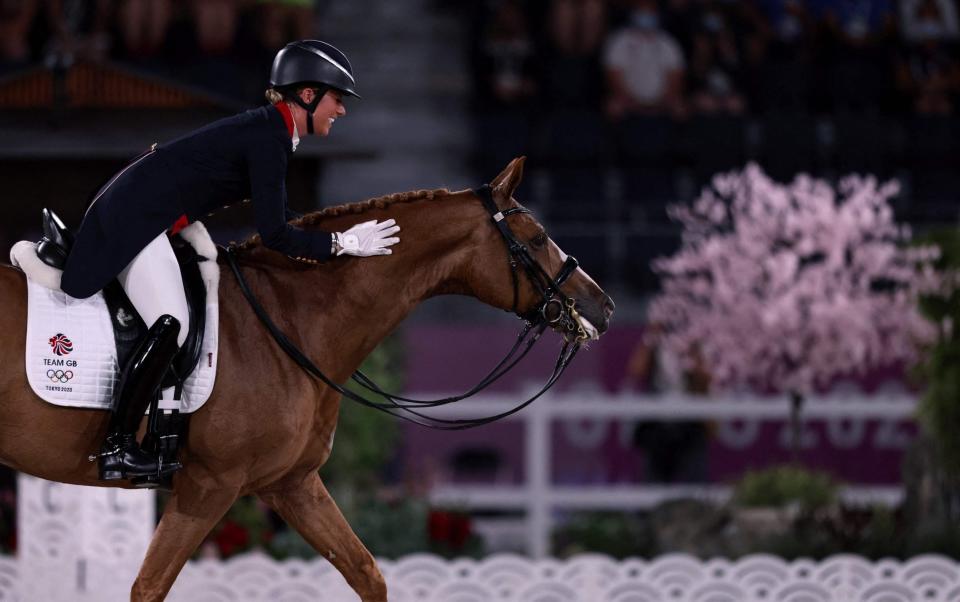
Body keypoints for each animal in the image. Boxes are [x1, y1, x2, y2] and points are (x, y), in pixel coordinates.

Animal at [0, 157, 616, 596]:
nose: (602, 308)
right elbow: (148, 586)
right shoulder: (208, 486)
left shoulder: (292, 483)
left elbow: (367, 572)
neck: (289, 316)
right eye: (536, 239)